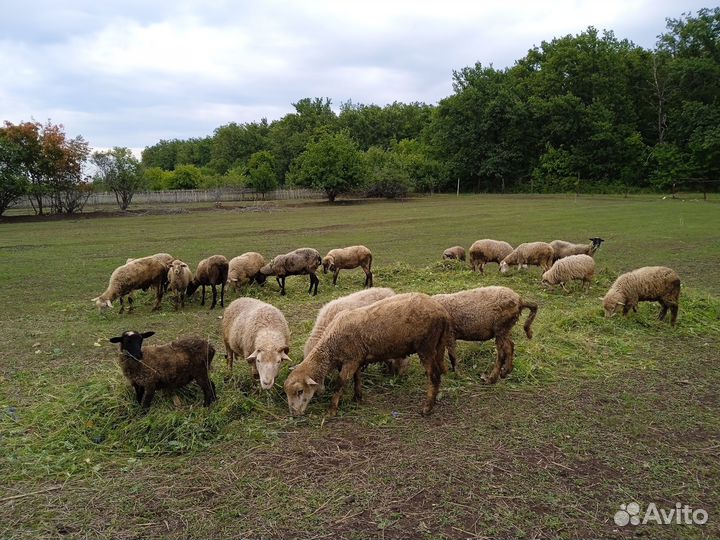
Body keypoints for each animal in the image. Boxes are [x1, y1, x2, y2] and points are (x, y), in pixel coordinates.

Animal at [284, 292, 453, 417]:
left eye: (300, 391)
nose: (294, 414)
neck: (331, 347)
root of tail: (442, 312)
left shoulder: (350, 361)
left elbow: (340, 383)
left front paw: (332, 410)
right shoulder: (356, 358)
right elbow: (357, 379)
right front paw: (357, 398)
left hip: (426, 346)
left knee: (434, 376)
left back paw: (427, 408)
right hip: (437, 346)